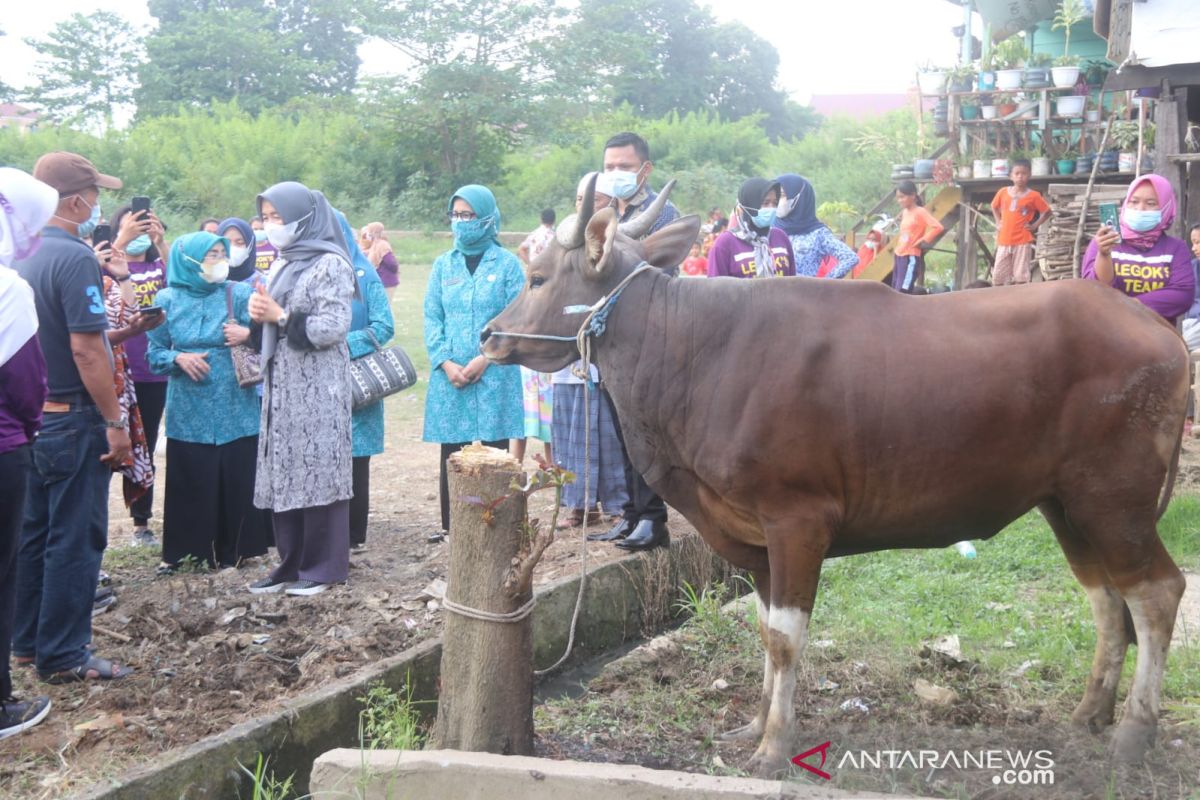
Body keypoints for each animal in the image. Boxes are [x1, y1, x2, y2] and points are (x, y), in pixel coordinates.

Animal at [477, 178, 1190, 777]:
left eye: (537, 275)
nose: (488, 335)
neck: (695, 354)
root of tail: (1159, 331)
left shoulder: (798, 519)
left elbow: (787, 640)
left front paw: (774, 746)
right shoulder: (755, 538)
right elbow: (766, 633)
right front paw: (754, 724)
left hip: (1114, 500)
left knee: (1156, 593)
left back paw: (1133, 733)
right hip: (1066, 504)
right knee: (1107, 599)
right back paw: (1089, 715)